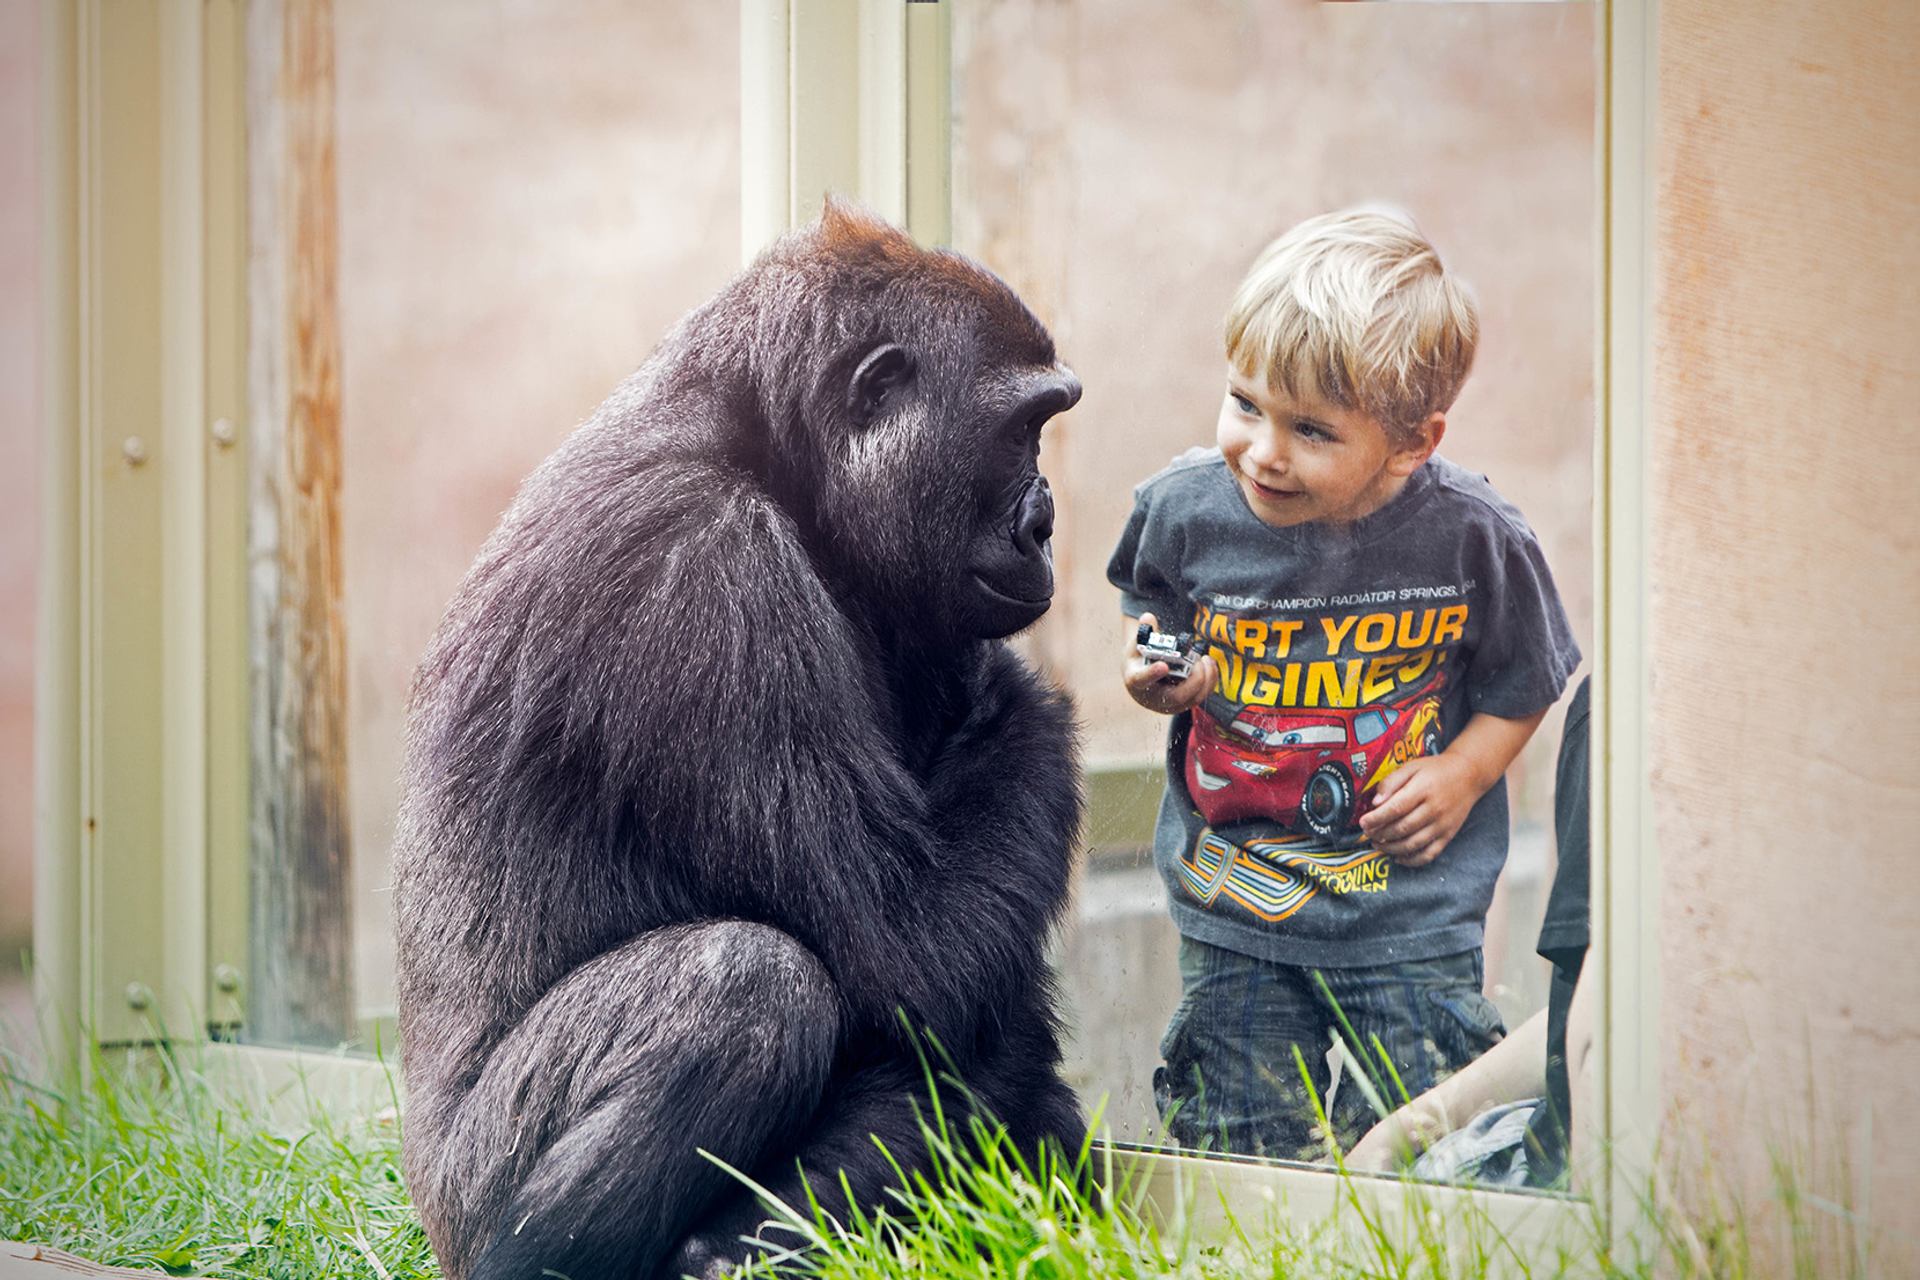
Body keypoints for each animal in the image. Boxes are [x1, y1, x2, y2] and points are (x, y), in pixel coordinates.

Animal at [391, 202, 1090, 1280]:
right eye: (1021, 430)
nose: (1044, 524)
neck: (762, 440)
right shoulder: (705, 574)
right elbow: (918, 951)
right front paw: (1018, 693)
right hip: (469, 1193)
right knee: (746, 986)